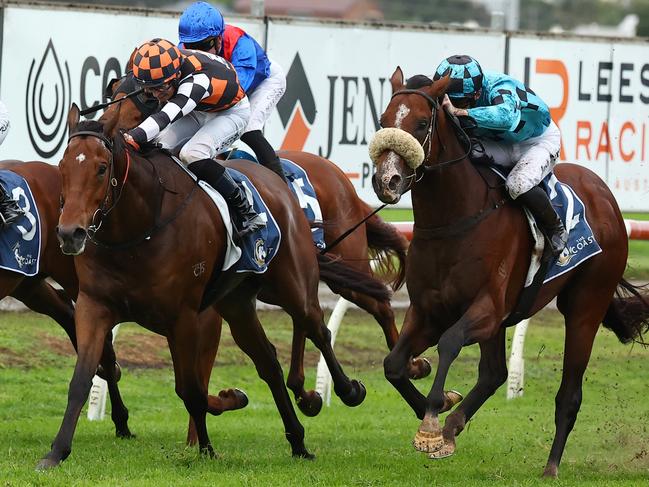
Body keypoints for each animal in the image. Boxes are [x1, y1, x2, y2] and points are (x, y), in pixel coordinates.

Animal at [40, 105, 384, 470]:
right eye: (62, 167)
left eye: (101, 168)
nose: (70, 233)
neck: (139, 227)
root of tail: (278, 181)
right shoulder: (94, 306)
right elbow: (83, 379)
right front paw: (56, 451)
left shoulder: (184, 317)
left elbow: (189, 389)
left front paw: (209, 441)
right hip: (237, 304)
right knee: (268, 363)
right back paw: (298, 440)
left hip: (294, 285)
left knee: (318, 328)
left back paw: (345, 391)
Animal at [370, 67, 648, 476]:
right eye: (383, 120)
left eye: (421, 123)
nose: (385, 181)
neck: (455, 219)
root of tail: (606, 196)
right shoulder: (428, 311)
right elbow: (393, 364)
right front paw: (439, 412)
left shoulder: (487, 307)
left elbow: (450, 343)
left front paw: (433, 421)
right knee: (493, 373)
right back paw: (455, 426)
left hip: (585, 307)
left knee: (568, 393)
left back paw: (550, 467)